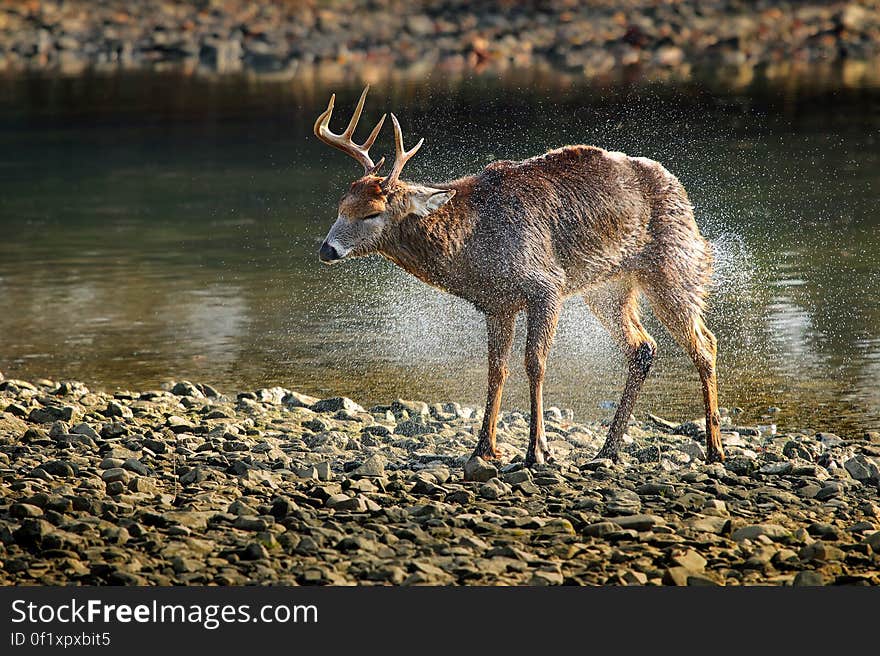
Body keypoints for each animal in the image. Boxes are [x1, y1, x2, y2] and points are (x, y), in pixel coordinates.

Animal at [312, 88, 724, 476]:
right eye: (340, 206)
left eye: (372, 213)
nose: (327, 249)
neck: (474, 246)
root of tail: (680, 190)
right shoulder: (497, 304)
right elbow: (497, 369)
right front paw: (483, 448)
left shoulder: (547, 284)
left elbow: (534, 363)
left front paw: (537, 451)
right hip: (607, 289)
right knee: (643, 347)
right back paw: (607, 451)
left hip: (674, 265)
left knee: (705, 342)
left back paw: (714, 449)